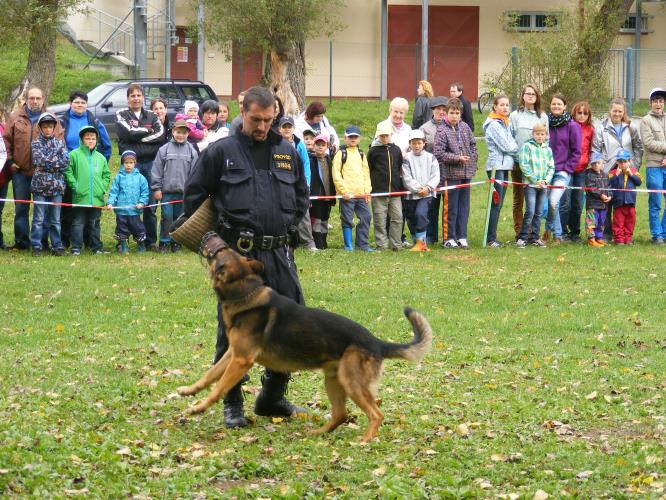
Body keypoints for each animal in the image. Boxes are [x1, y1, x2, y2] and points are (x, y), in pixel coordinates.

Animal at [176, 233, 434, 442]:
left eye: (220, 253)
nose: (209, 238)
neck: (245, 291)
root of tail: (377, 343)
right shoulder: (232, 354)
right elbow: (209, 375)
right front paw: (189, 391)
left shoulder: (241, 360)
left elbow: (218, 388)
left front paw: (198, 408)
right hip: (334, 380)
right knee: (341, 414)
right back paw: (319, 432)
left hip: (351, 382)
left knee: (376, 413)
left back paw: (365, 439)